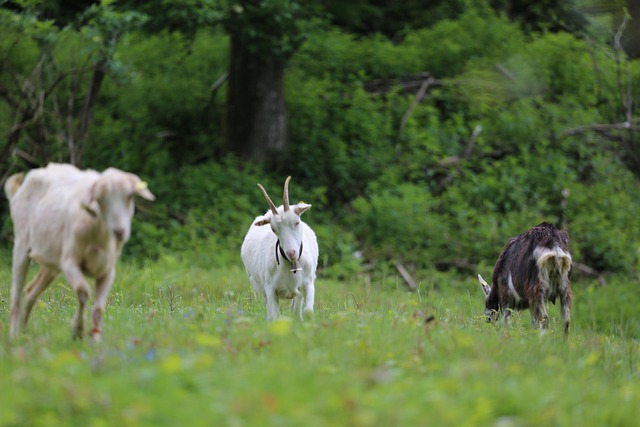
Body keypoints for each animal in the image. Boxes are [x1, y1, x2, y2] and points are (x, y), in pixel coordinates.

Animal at [5, 162, 155, 342]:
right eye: (100, 200)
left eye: (130, 197)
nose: (119, 232)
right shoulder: (70, 263)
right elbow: (83, 291)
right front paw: (77, 330)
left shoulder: (107, 271)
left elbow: (98, 309)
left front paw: (95, 340)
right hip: (21, 244)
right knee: (16, 293)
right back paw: (13, 336)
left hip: (51, 261)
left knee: (30, 292)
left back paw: (24, 332)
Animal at [241, 176, 318, 320]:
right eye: (273, 229)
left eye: (297, 222)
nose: (291, 253)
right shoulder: (270, 288)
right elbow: (274, 316)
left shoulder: (308, 282)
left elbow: (308, 311)